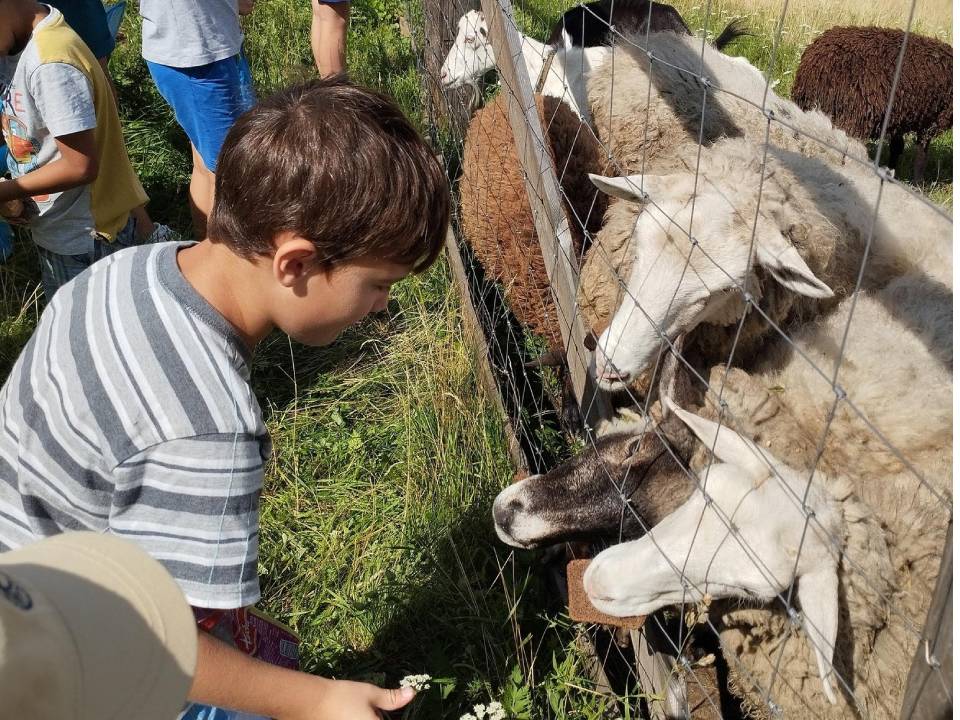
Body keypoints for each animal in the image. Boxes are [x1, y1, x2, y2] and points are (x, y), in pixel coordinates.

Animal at [788, 26, 952, 181]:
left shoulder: (900, 115)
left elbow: (897, 147)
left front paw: (891, 172)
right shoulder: (933, 118)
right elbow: (920, 153)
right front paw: (918, 182)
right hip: (854, 118)